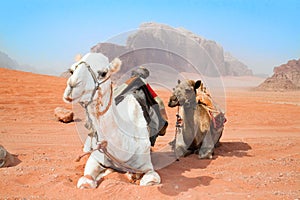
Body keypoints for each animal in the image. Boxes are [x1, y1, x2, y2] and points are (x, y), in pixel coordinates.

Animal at [63, 52, 161, 188]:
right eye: (71, 70)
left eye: (103, 73)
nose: (72, 86)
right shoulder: (96, 157)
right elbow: (85, 181)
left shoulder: (147, 166)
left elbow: (149, 180)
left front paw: (131, 175)